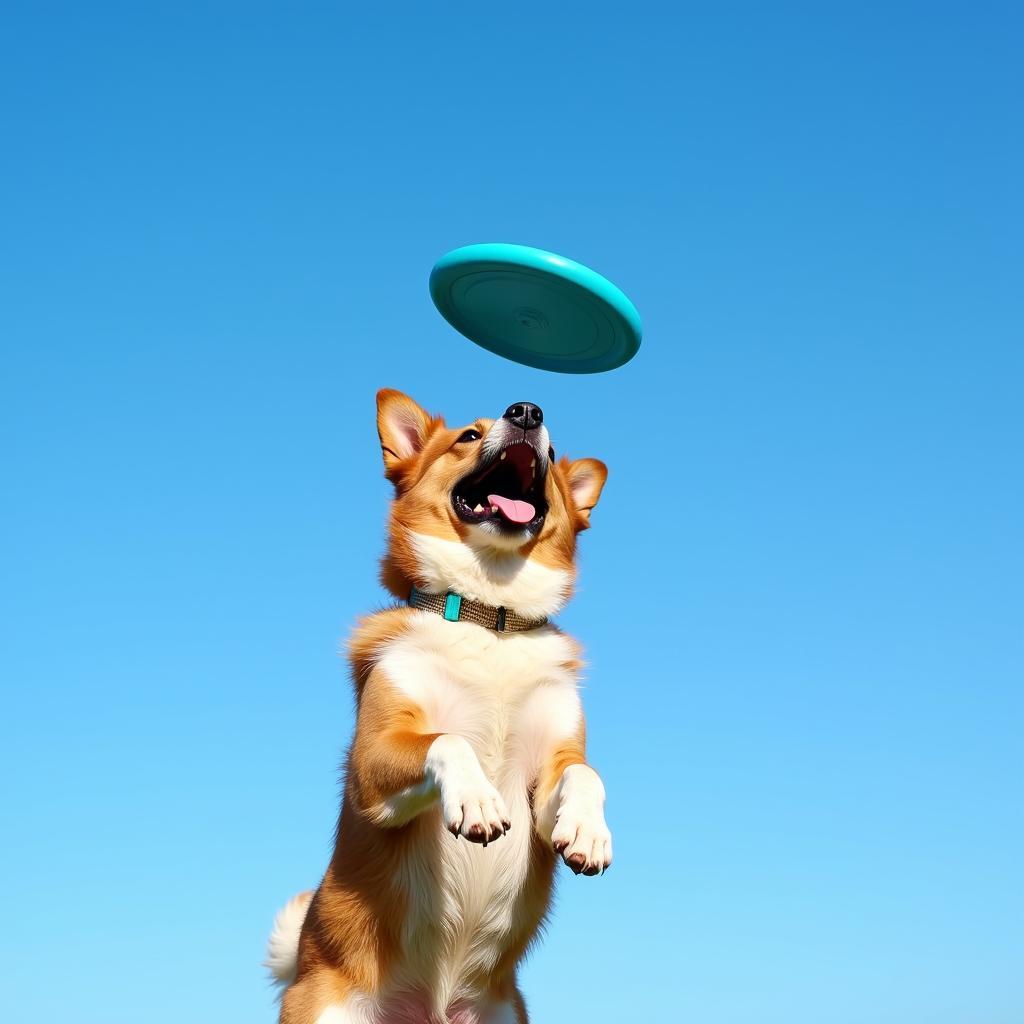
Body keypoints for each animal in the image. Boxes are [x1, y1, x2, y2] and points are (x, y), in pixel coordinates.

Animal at [268, 391, 610, 1024]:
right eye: (468, 436)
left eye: (552, 453)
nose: (527, 411)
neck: (489, 617)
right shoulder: (373, 765)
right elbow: (448, 741)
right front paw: (476, 799)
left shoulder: (548, 774)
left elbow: (585, 774)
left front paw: (588, 833)